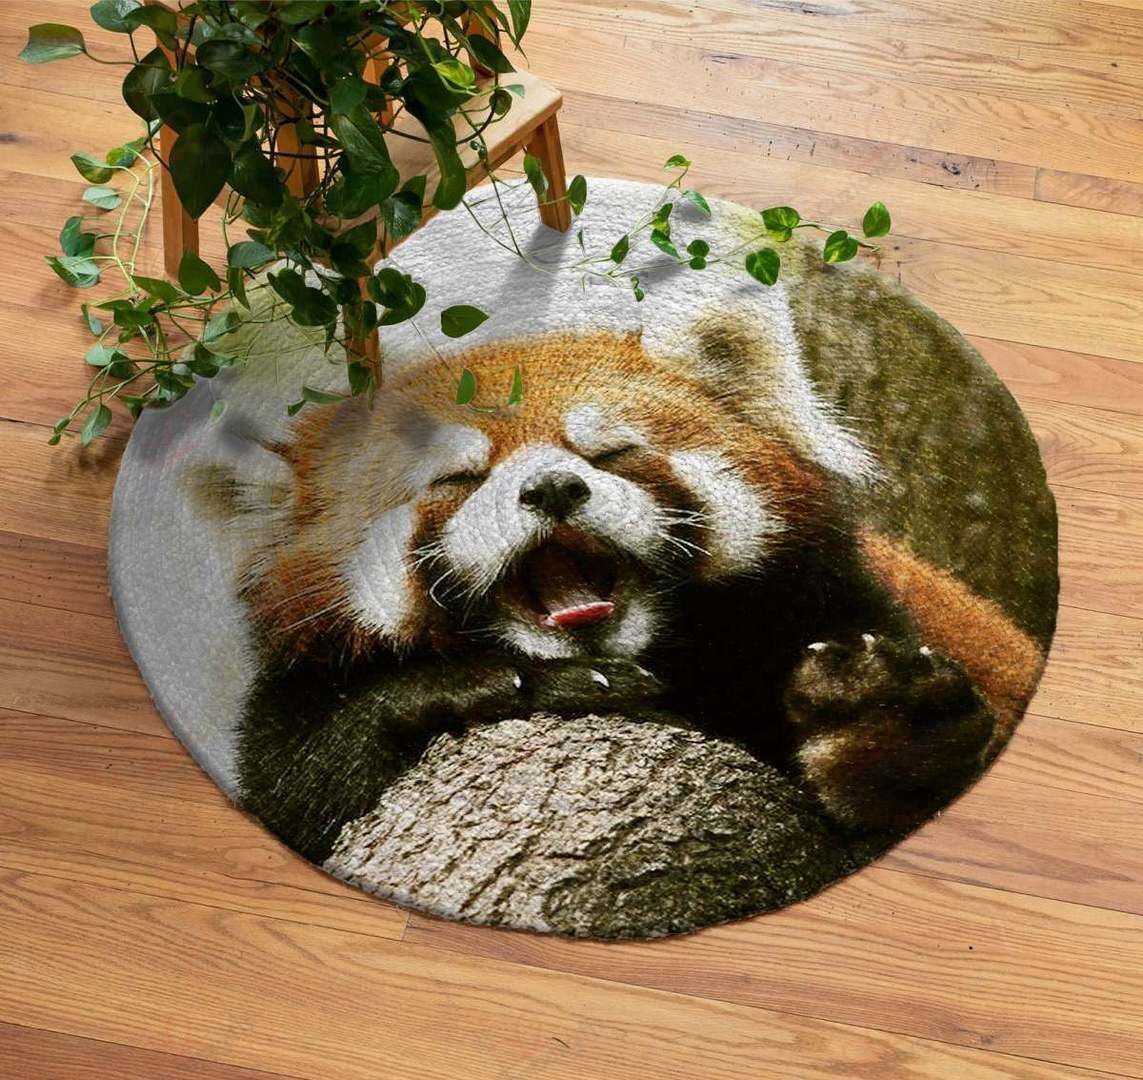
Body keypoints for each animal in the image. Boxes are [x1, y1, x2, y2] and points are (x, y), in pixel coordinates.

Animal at [204, 323, 1045, 863]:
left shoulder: (826, 599)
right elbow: (300, 786)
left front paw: (884, 718)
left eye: (608, 452)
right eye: (459, 478)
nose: (551, 488)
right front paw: (477, 685)